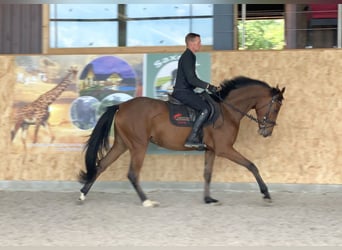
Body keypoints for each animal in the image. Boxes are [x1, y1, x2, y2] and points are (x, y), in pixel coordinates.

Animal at [79, 75, 284, 207]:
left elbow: (207, 174)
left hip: (122, 144)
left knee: (101, 165)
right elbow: (251, 165)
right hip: (138, 145)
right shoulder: (224, 149)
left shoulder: (211, 150)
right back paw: (147, 201)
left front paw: (208, 199)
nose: (267, 132)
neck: (227, 110)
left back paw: (82, 195)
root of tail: (121, 105)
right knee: (132, 174)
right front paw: (266, 194)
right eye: (275, 108)